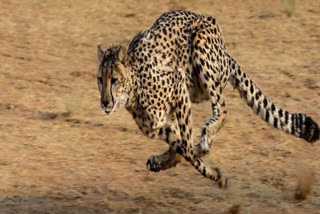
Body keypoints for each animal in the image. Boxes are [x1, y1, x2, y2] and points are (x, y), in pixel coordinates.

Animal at [96, 10, 318, 188]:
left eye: (114, 80)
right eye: (100, 79)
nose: (105, 102)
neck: (134, 90)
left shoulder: (178, 84)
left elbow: (186, 146)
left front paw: (214, 174)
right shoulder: (160, 124)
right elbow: (181, 146)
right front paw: (174, 161)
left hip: (201, 47)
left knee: (222, 108)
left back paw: (206, 135)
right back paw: (169, 158)